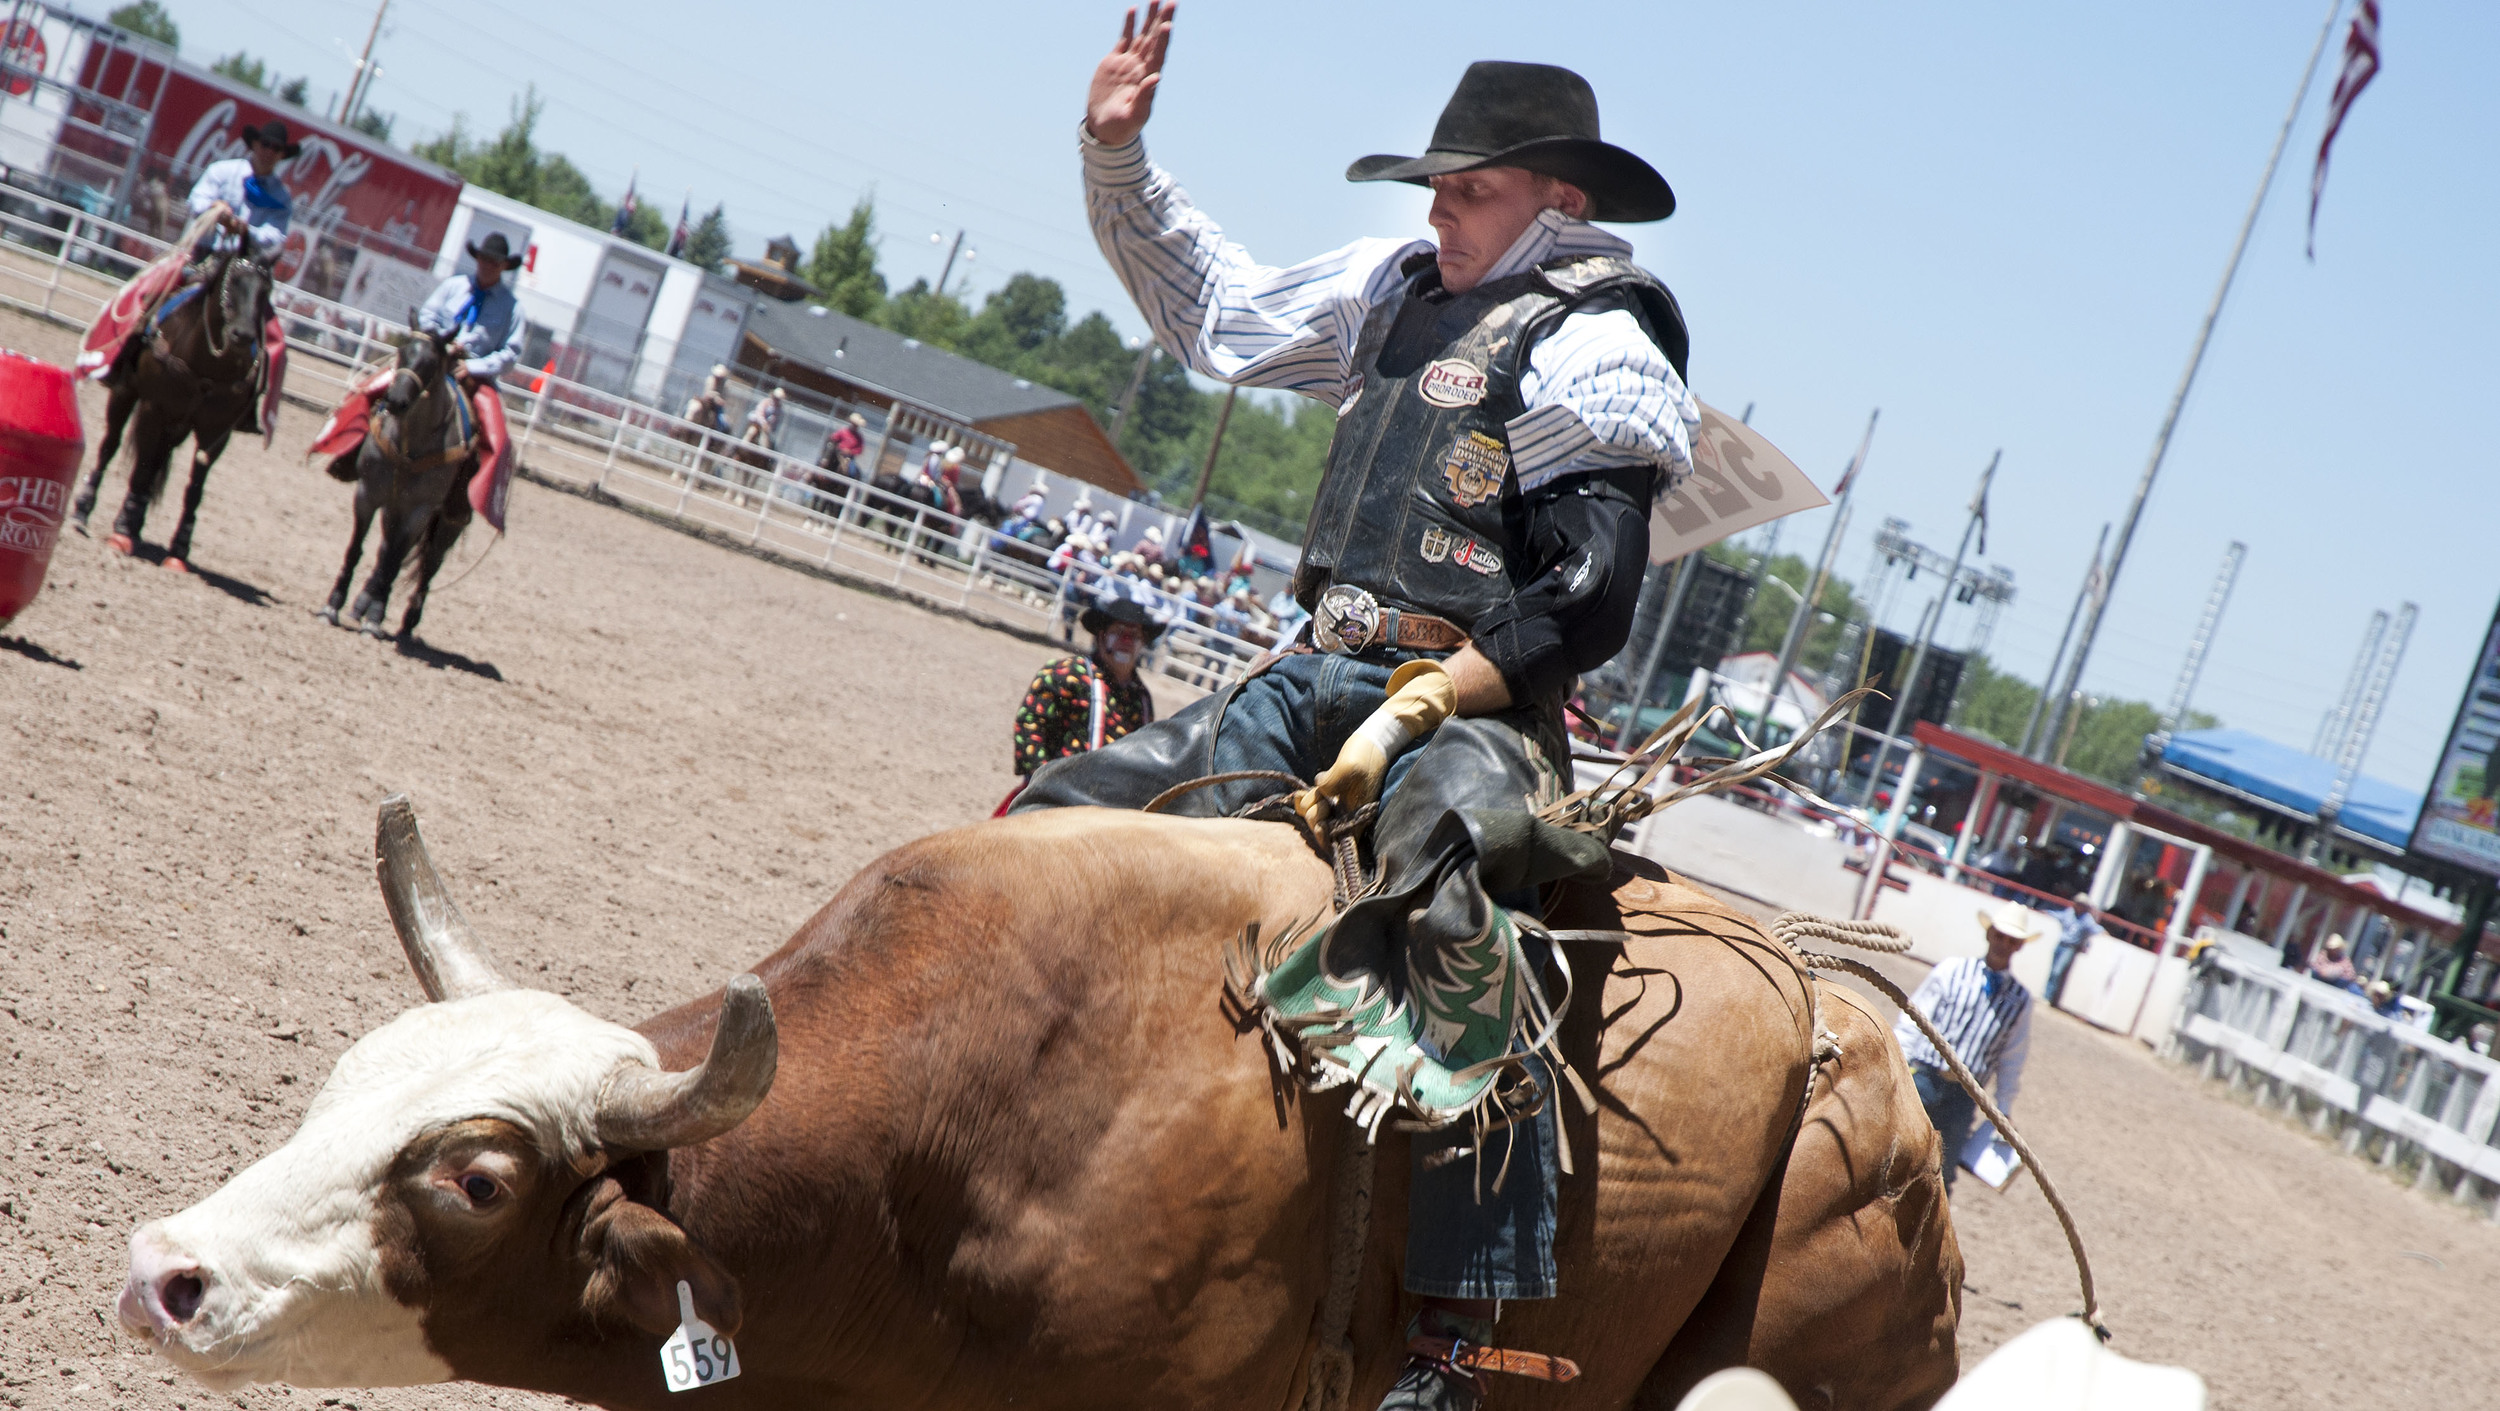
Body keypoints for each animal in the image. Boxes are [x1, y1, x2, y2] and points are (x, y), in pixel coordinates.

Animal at [70, 248, 271, 572]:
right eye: (232, 281)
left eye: (267, 291)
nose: (242, 335)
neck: (206, 366)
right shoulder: (153, 409)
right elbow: (140, 469)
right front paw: (123, 531)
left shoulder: (215, 434)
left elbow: (194, 489)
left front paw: (179, 548)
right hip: (125, 394)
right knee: (110, 446)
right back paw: (84, 511)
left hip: (176, 427)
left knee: (155, 462)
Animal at [322, 325, 477, 640]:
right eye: (402, 352)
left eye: (431, 363)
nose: (394, 400)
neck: (410, 446)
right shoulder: (367, 494)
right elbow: (357, 549)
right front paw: (334, 604)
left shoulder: (419, 511)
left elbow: (393, 563)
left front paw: (374, 618)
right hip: (393, 511)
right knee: (386, 550)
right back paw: (361, 604)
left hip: (446, 525)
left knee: (427, 565)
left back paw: (405, 622)